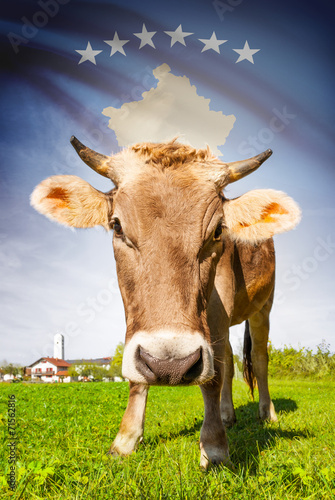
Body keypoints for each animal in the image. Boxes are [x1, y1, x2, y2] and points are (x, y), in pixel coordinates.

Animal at [31, 137, 302, 468]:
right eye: (117, 226)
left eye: (218, 231)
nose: (169, 365)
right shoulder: (138, 317)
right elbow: (140, 374)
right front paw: (125, 440)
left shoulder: (220, 305)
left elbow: (212, 377)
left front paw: (214, 447)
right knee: (227, 360)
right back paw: (227, 415)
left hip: (263, 307)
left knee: (259, 359)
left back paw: (267, 413)